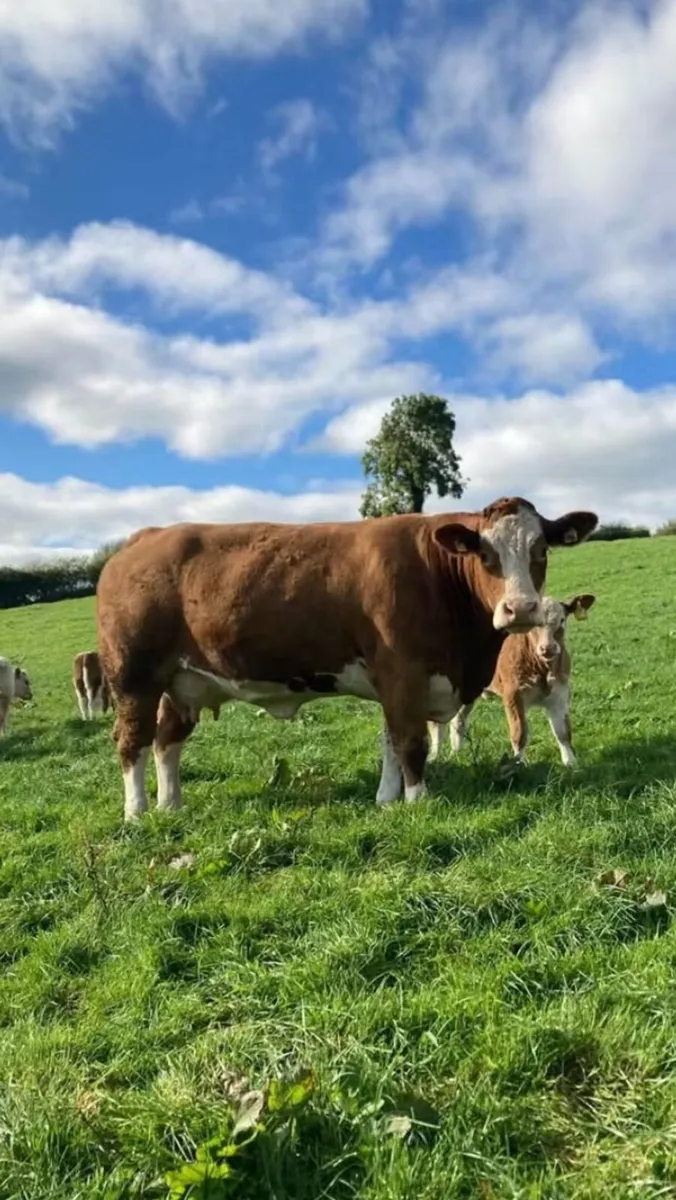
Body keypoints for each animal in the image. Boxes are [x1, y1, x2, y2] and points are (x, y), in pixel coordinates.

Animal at [428, 593, 596, 767]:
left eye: (562, 620)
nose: (548, 648)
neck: (542, 669)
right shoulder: (513, 695)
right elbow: (519, 733)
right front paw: (519, 764)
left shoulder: (560, 694)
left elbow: (563, 732)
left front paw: (571, 763)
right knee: (436, 724)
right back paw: (434, 758)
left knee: (458, 721)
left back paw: (456, 753)